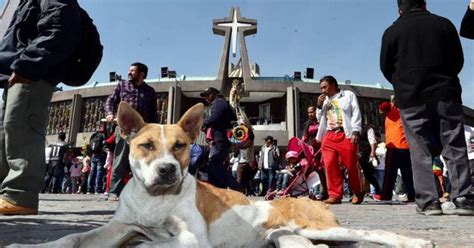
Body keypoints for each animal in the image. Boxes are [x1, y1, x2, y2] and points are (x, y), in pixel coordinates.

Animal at [10, 101, 434, 247]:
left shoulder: (189, 239)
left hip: (318, 227)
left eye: (181, 145)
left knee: (373, 233)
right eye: (146, 145)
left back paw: (414, 241)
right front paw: (30, 246)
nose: (167, 170)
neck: (153, 202)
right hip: (288, 240)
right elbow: (71, 238)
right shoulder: (119, 229)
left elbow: (152, 247)